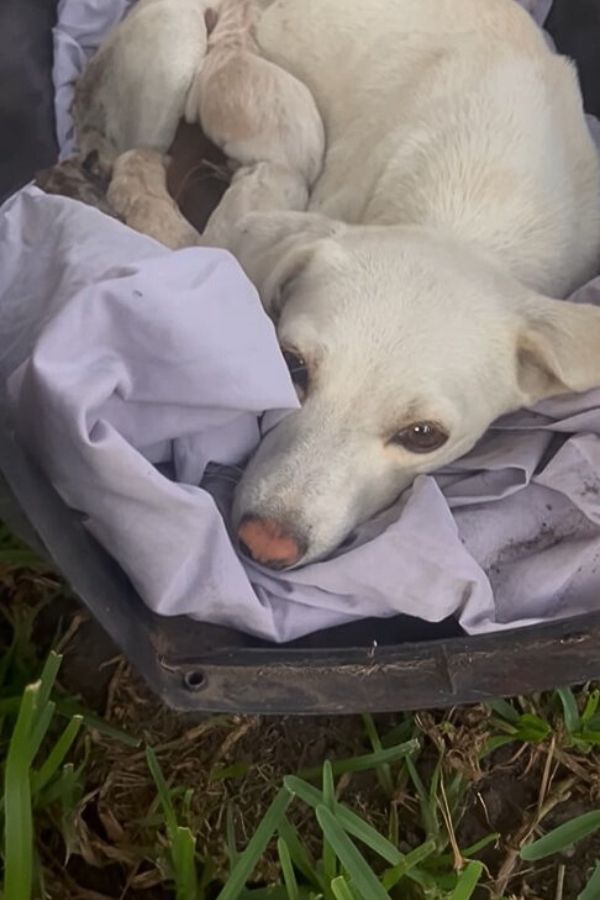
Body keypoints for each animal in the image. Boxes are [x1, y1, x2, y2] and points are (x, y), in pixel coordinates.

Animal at [108, 0, 600, 568]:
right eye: (291, 364)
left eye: (423, 436)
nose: (265, 544)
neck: (474, 199)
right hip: (174, 49)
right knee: (131, 161)